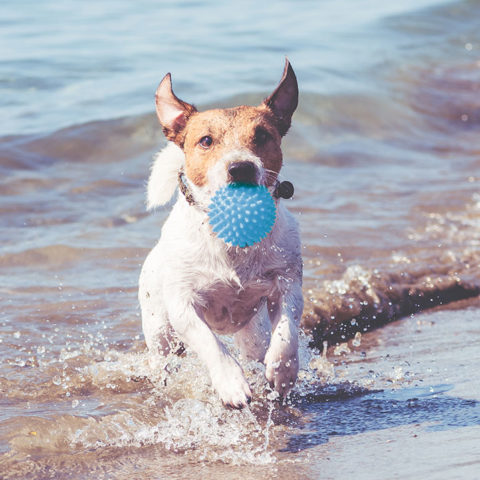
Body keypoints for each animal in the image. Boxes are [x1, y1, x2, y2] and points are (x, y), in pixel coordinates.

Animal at [139, 58, 304, 406]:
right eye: (205, 141)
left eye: (262, 136)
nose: (241, 167)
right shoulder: (183, 305)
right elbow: (210, 344)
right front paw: (231, 384)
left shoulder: (288, 285)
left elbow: (286, 334)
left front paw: (282, 372)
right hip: (159, 329)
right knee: (164, 357)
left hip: (253, 330)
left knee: (257, 345)